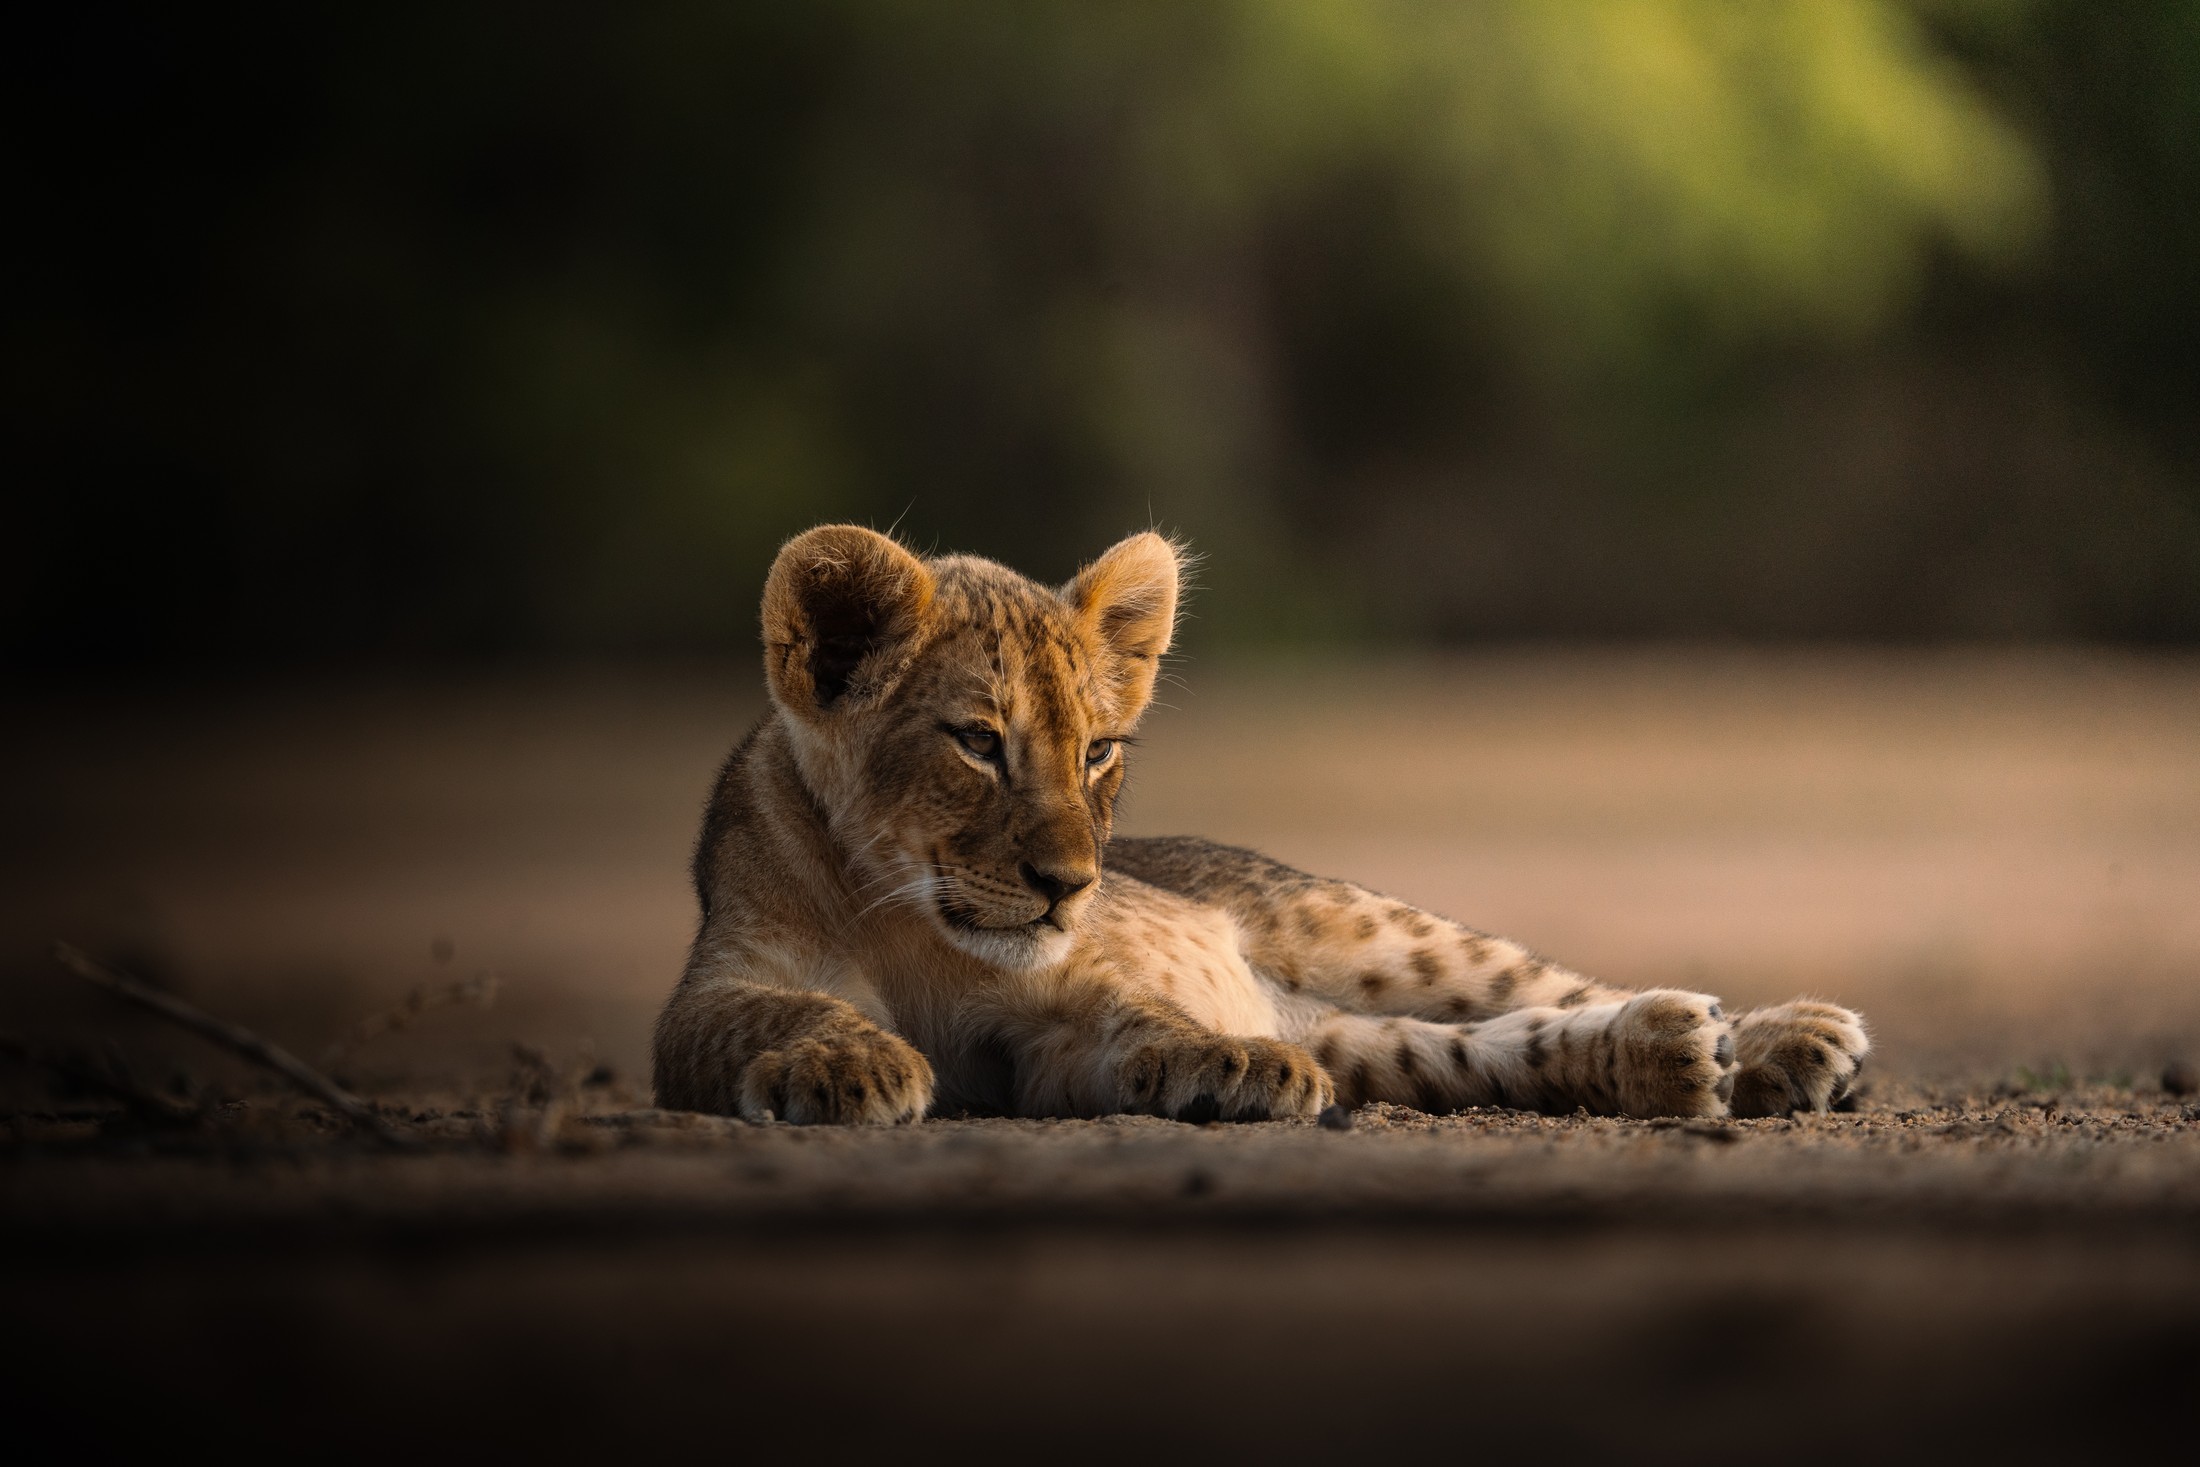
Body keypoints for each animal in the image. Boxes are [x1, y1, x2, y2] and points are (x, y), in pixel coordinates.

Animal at [652, 525, 1868, 1124]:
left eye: (1097, 752)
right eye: (978, 743)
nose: (1070, 887)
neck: (909, 914)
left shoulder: (1052, 1020)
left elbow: (1142, 1020)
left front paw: (1226, 1062)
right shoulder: (716, 991)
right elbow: (770, 1013)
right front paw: (846, 1064)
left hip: (1358, 925)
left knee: (1542, 986)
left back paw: (1787, 1038)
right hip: (1355, 1031)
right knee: (1468, 1050)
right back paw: (1682, 1055)